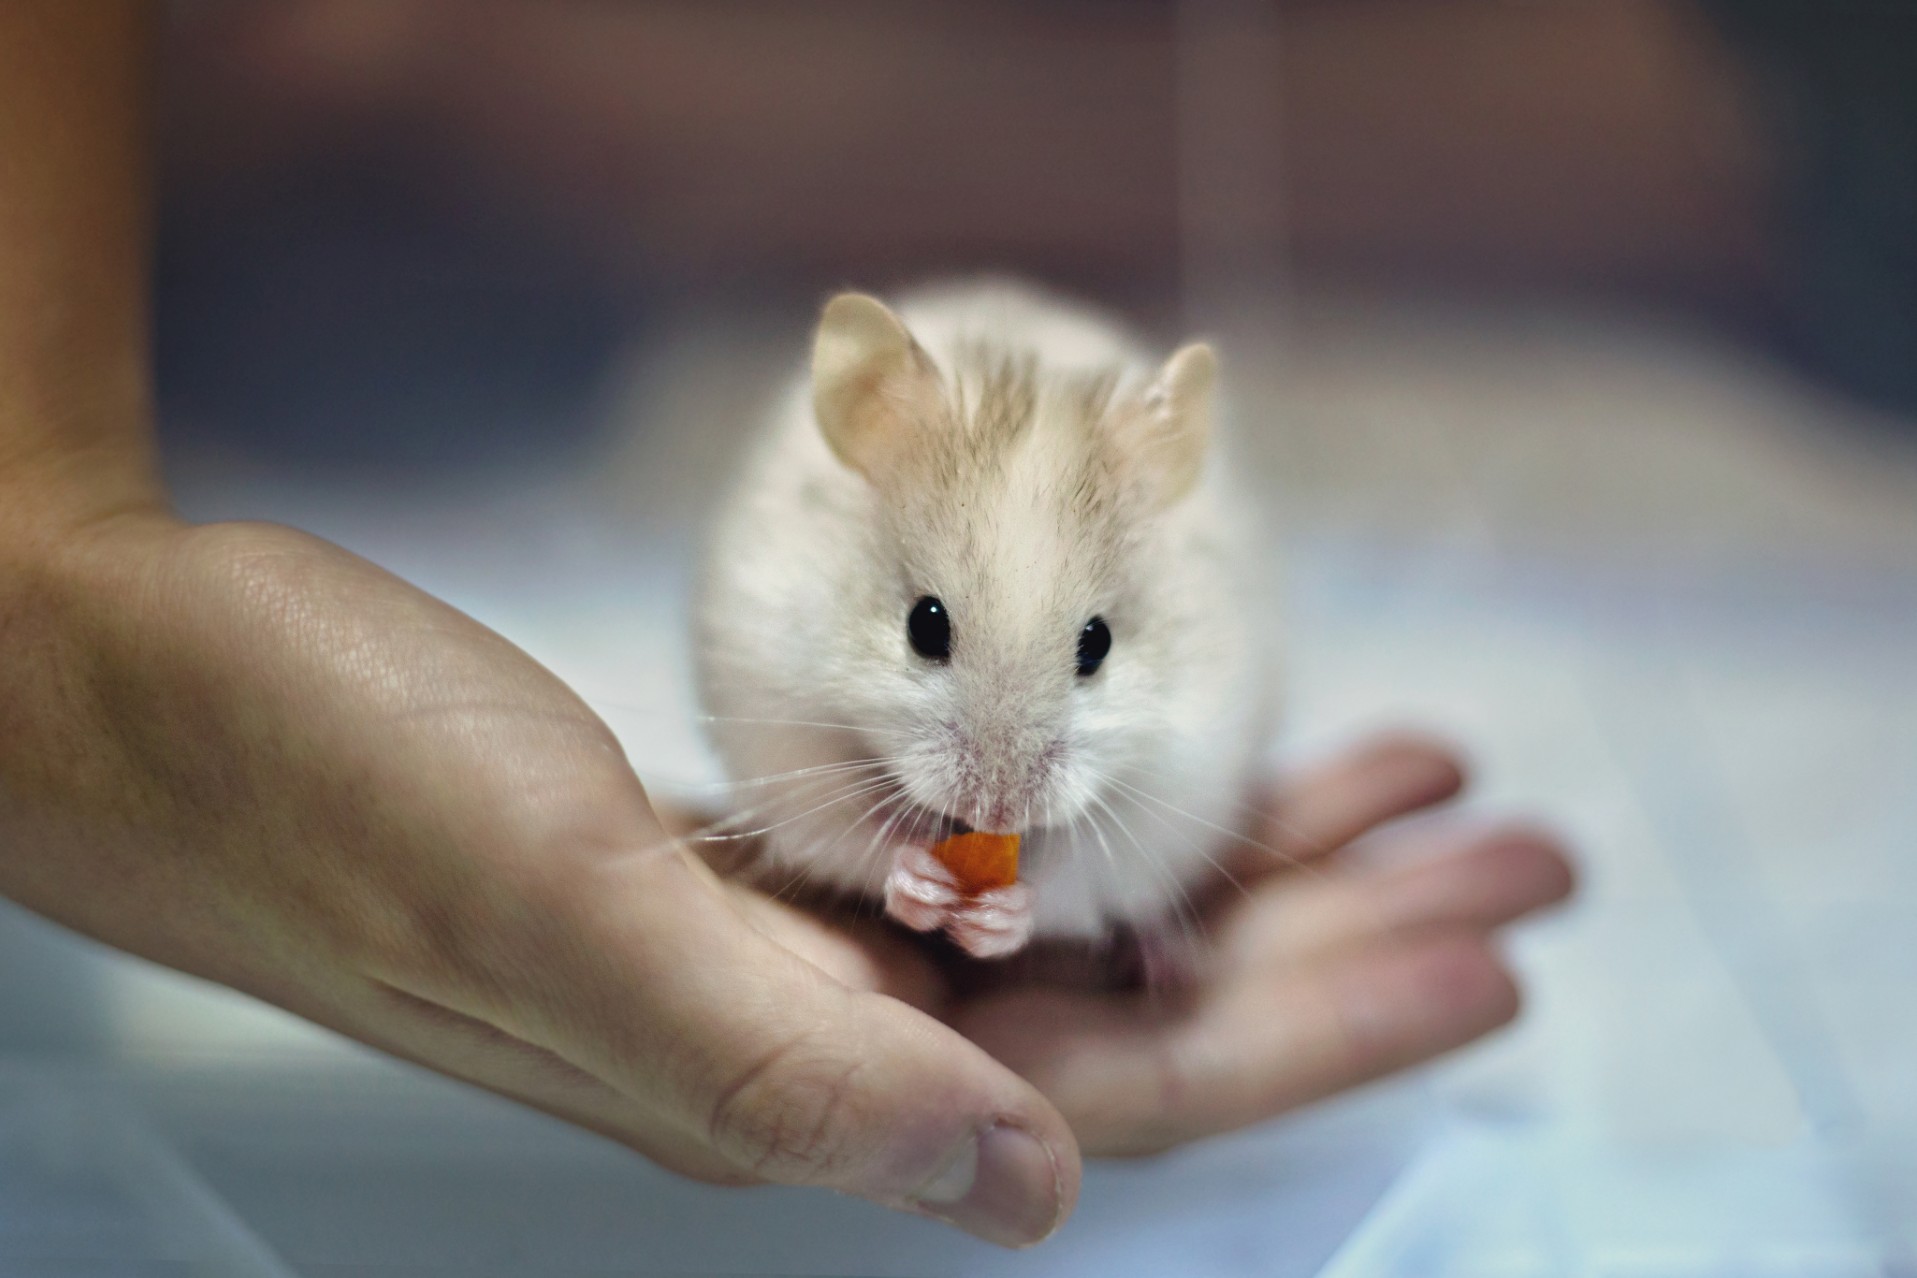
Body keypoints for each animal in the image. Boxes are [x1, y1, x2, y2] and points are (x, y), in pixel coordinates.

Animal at [694, 278, 1277, 960]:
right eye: (924, 625)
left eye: (1098, 643)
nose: (998, 813)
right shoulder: (784, 737)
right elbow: (855, 841)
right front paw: (921, 883)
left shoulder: (1174, 789)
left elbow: (1069, 882)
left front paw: (996, 917)